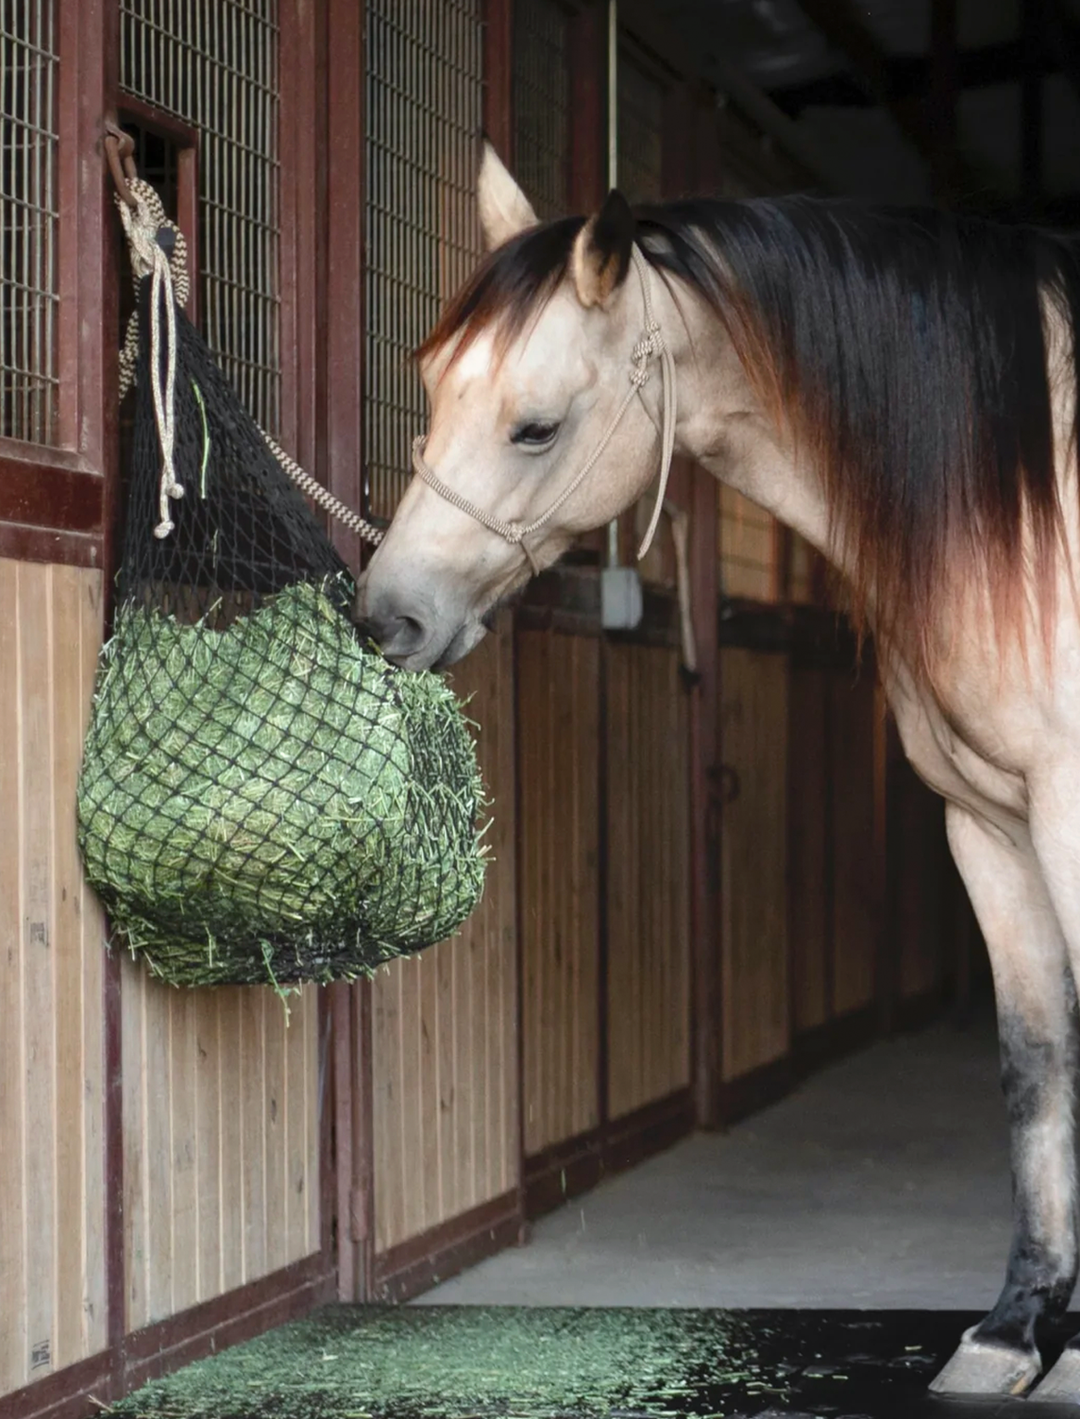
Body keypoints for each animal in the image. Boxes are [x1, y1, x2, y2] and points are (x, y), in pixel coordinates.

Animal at [357, 138, 1078, 1401]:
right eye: (434, 387)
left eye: (535, 427)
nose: (387, 616)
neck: (1030, 505)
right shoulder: (988, 825)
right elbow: (1035, 1061)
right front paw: (1015, 1332)